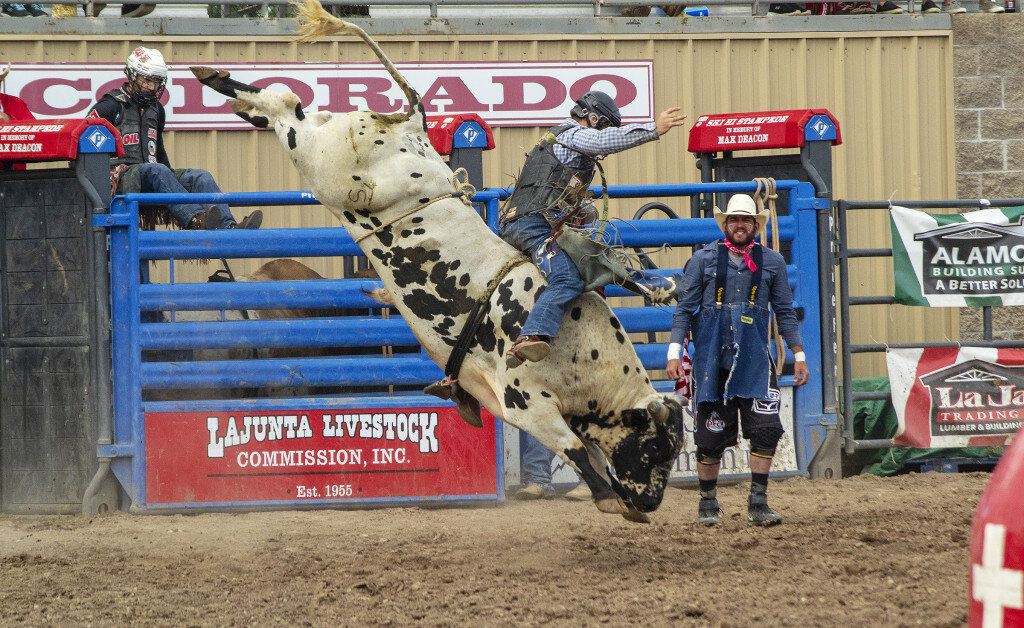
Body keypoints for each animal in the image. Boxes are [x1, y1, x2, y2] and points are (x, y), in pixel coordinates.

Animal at [192, 0, 688, 522]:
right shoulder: (525, 402)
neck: (586, 352)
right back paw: (220, 82)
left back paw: (223, 87)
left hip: (322, 137)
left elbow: (584, 450)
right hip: (321, 160)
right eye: (656, 447)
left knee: (288, 106)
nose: (651, 501)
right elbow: (574, 450)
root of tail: (410, 126)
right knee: (284, 106)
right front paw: (612, 499)